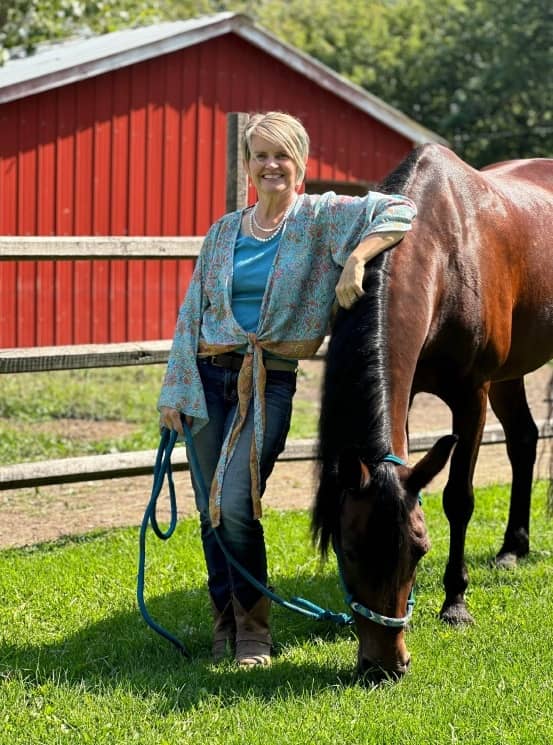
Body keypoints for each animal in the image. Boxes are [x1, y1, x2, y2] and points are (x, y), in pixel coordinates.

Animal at [313, 143, 553, 681]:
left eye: (419, 551)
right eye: (347, 547)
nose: (385, 666)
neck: (445, 253)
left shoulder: (471, 395)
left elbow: (458, 499)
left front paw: (456, 603)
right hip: (511, 374)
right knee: (524, 440)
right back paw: (512, 549)